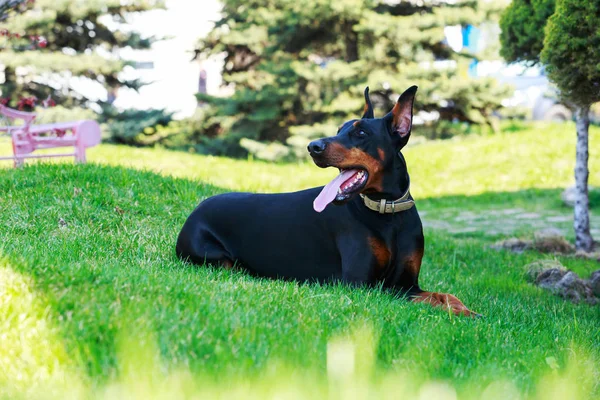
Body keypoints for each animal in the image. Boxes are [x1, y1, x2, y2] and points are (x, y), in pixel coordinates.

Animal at [175, 86, 478, 316]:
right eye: (339, 128)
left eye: (360, 133)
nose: (313, 147)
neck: (388, 213)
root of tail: (197, 208)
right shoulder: (362, 285)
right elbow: (425, 299)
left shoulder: (409, 283)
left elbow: (444, 295)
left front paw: (467, 310)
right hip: (215, 258)